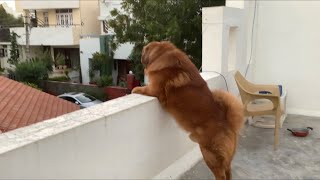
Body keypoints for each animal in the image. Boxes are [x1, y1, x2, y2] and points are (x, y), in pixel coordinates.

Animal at [132, 41, 245, 179]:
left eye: (144, 50)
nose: (140, 55)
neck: (163, 54)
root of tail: (228, 123)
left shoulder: (154, 89)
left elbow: (142, 89)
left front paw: (135, 89)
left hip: (210, 155)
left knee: (221, 174)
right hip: (224, 158)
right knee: (228, 171)